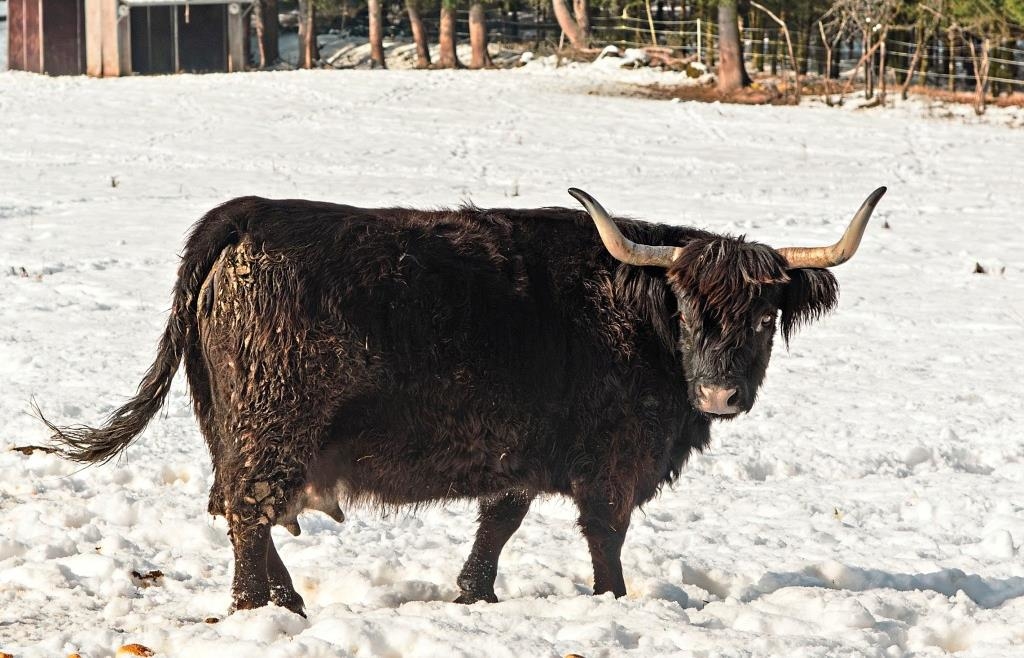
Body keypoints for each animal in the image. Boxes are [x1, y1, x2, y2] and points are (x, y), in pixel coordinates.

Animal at [44, 186, 886, 616]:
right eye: (685, 308)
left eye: (764, 316)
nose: (720, 391)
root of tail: (250, 212)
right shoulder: (612, 459)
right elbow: (605, 533)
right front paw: (612, 601)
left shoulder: (521, 452)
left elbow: (500, 520)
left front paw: (473, 593)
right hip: (273, 422)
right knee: (249, 510)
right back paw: (261, 608)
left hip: (229, 422)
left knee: (240, 507)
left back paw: (286, 599)